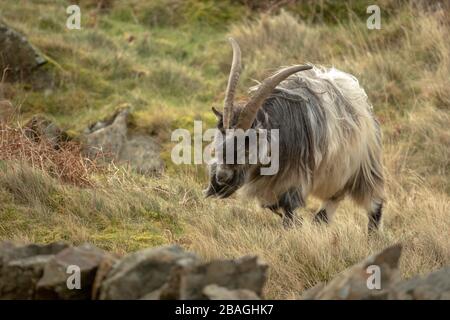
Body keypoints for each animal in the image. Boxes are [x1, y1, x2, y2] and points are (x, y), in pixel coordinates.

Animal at [204, 38, 384, 232]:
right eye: (220, 140)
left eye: (246, 146)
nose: (221, 178)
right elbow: (271, 205)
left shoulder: (294, 177)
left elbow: (288, 208)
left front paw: (294, 224)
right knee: (334, 199)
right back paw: (319, 220)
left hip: (363, 165)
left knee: (373, 202)